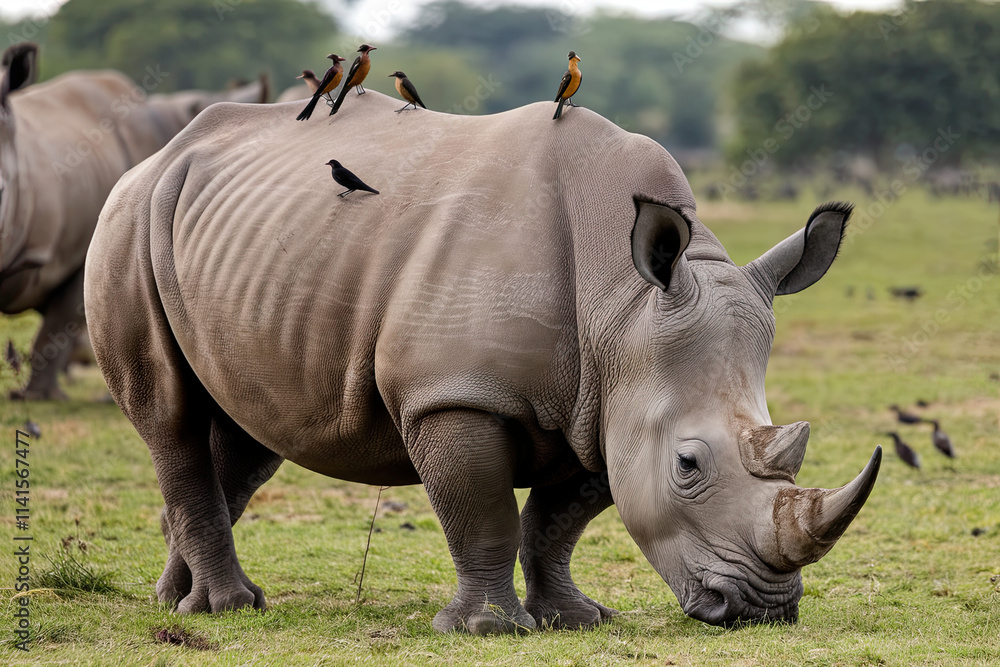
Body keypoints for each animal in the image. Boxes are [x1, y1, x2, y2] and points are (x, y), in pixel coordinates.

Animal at [84, 90, 881, 634]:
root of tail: (157, 156)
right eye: (687, 464)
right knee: (171, 417)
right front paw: (487, 629)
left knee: (252, 432)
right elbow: (483, 509)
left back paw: (183, 601)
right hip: (126, 218)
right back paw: (222, 608)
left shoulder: (603, 403)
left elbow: (559, 521)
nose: (760, 609)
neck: (623, 306)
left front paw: (576, 618)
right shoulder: (454, 393)